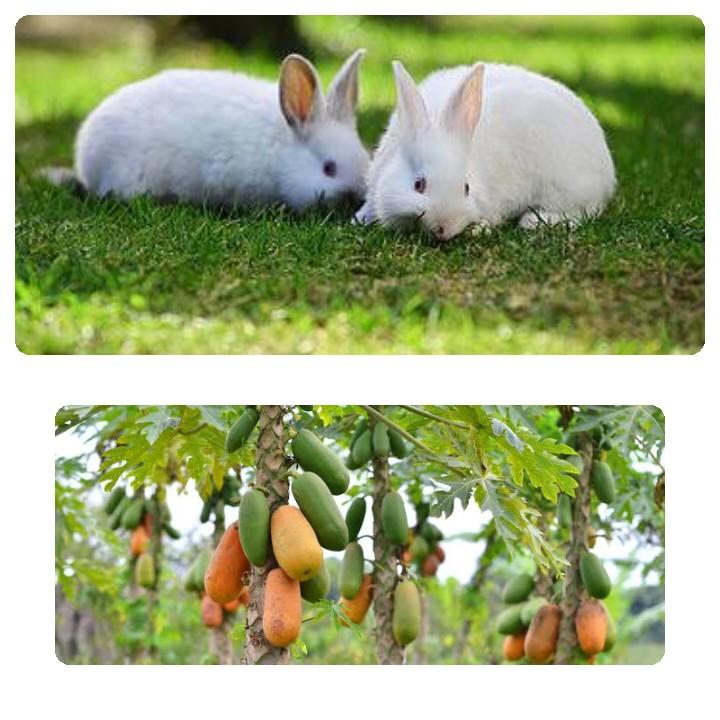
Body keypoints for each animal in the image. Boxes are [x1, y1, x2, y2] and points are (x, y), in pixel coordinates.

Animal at [356, 61, 616, 239]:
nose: (444, 228)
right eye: (419, 185)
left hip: (566, 189)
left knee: (585, 210)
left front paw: (479, 229)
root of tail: (608, 177)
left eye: (466, 188)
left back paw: (534, 221)